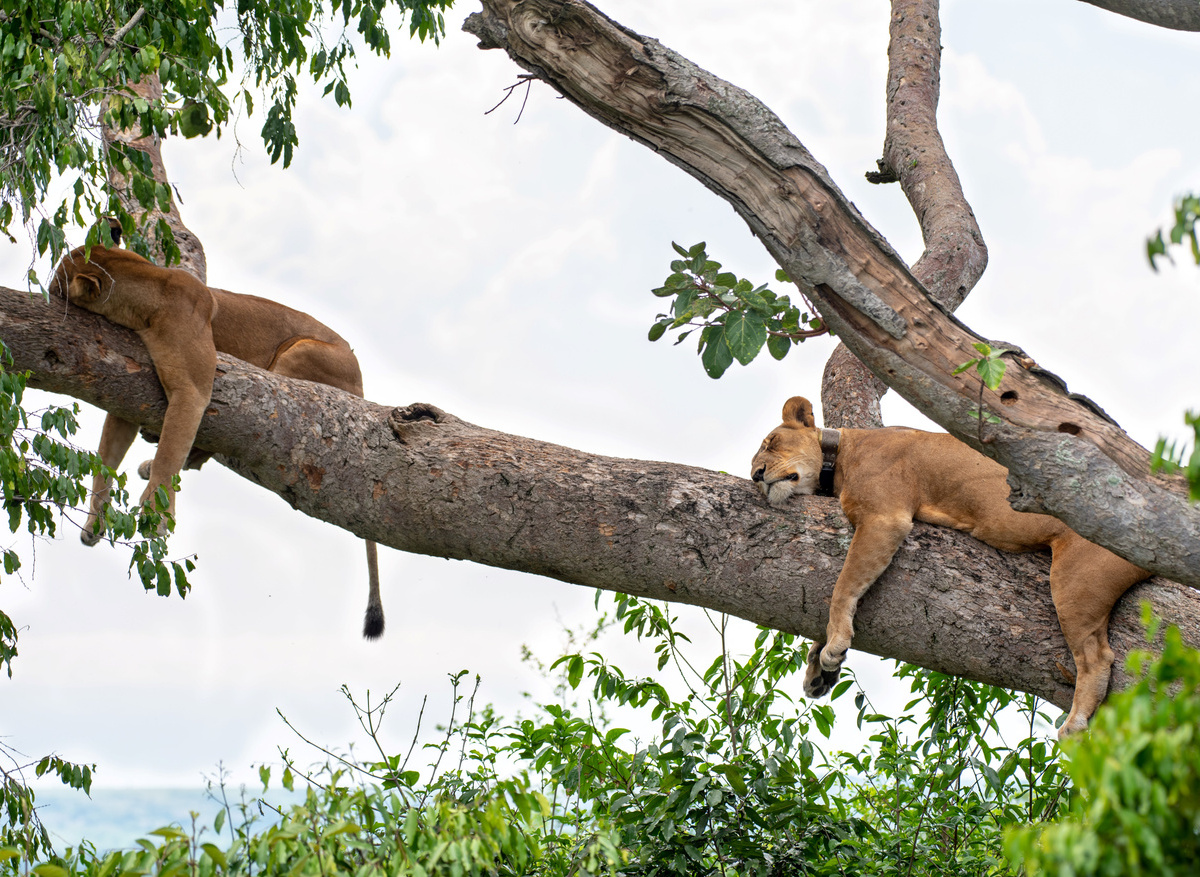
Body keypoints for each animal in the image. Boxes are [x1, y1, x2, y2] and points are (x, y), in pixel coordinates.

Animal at [50, 229, 385, 640]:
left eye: (57, 284)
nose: (47, 292)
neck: (149, 287)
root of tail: (362, 385)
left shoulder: (193, 390)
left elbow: (171, 454)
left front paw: (158, 513)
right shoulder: (127, 393)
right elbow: (106, 461)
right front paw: (93, 523)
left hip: (292, 358)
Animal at [751, 395, 1150, 737]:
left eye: (771, 442)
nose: (755, 475)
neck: (841, 455)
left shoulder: (885, 518)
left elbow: (843, 585)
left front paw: (834, 643)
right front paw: (821, 670)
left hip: (1074, 582)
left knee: (1097, 657)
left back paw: (1075, 722)